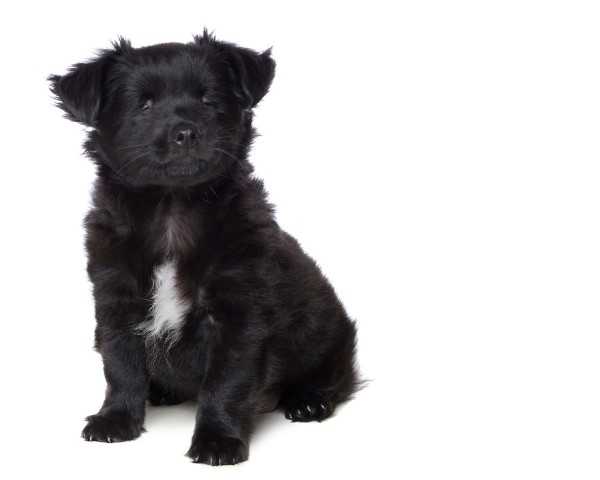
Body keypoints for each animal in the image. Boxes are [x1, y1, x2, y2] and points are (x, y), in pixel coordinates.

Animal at [49, 32, 359, 466]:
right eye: (143, 105)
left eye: (208, 100)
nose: (186, 132)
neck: (172, 207)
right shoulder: (116, 300)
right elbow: (120, 365)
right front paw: (116, 419)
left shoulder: (237, 316)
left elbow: (225, 384)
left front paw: (217, 440)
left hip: (329, 334)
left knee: (336, 376)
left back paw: (309, 400)